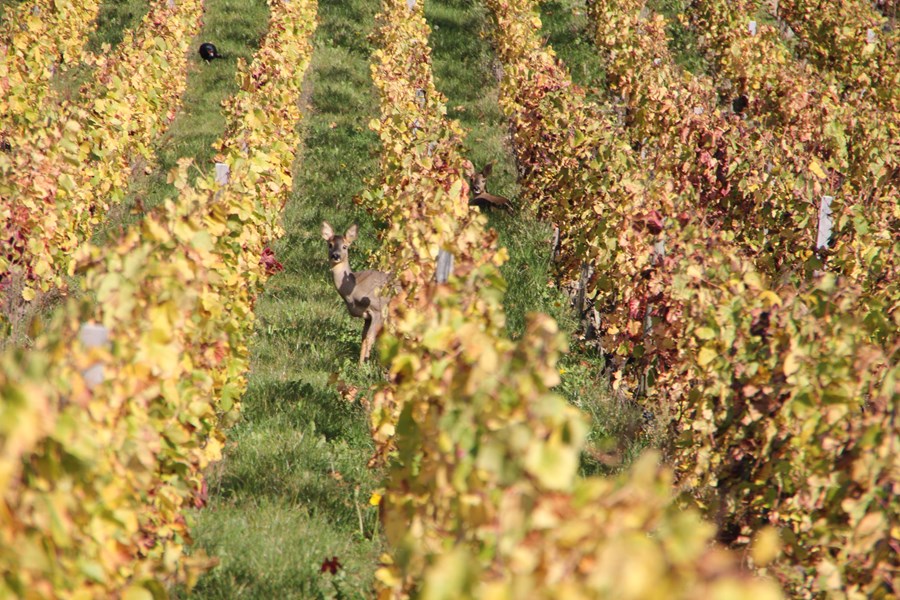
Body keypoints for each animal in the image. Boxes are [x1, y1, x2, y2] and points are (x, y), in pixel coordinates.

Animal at [320, 221, 390, 366]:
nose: (336, 255)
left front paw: (365, 365)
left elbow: (370, 338)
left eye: (345, 246)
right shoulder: (367, 316)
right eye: (330, 244)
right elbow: (363, 339)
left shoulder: (378, 310)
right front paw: (359, 365)